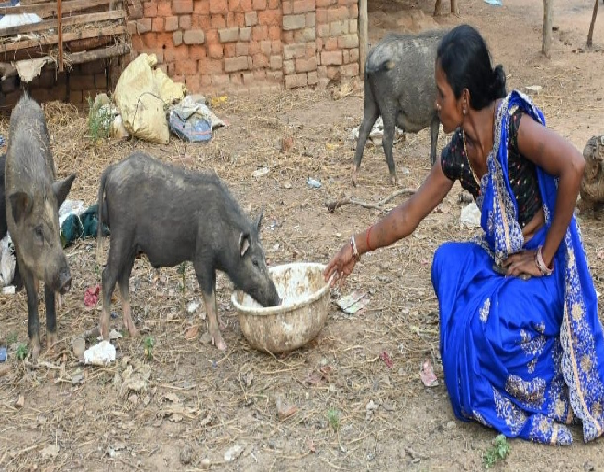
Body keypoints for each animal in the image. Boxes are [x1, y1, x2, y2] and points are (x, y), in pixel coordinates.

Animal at [5, 95, 76, 362]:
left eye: (57, 226)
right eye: (37, 231)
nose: (67, 280)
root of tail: (26, 99)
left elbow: (46, 294)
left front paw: (54, 345)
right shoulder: (22, 255)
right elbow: (33, 299)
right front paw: (35, 351)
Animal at [96, 151, 280, 350]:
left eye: (265, 257)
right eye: (254, 261)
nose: (278, 300)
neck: (223, 234)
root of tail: (112, 170)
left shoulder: (210, 265)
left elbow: (213, 297)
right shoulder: (201, 259)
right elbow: (209, 299)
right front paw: (221, 344)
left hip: (132, 247)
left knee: (123, 278)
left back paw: (134, 332)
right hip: (121, 234)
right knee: (108, 275)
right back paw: (105, 337)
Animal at [352, 27, 446, 186]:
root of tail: (371, 56)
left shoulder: (435, 115)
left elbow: (434, 137)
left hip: (370, 103)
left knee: (363, 130)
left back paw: (354, 179)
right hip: (388, 103)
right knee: (386, 139)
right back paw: (396, 180)